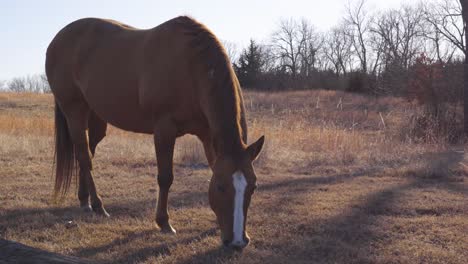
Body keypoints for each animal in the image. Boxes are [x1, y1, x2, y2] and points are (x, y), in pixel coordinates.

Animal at [45, 15, 266, 249]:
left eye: (253, 187)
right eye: (222, 187)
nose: (237, 241)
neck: (189, 67)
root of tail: (57, 41)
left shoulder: (207, 135)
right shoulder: (164, 130)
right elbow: (165, 177)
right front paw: (164, 223)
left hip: (95, 117)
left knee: (86, 153)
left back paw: (84, 200)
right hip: (74, 111)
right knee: (85, 157)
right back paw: (98, 206)